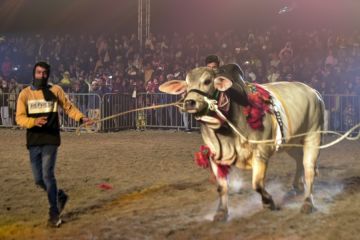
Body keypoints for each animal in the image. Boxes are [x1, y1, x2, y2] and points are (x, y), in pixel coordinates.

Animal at [159, 63, 324, 221]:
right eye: (186, 84)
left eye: (207, 81)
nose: (189, 102)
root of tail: (314, 92)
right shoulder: (215, 157)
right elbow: (222, 187)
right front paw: (221, 213)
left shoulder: (260, 154)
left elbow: (257, 184)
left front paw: (268, 202)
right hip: (291, 142)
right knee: (299, 160)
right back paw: (297, 185)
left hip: (313, 135)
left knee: (309, 169)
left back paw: (307, 203)